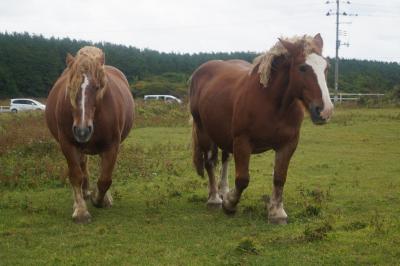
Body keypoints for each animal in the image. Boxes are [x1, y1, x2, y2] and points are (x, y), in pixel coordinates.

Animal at [45, 46, 134, 223]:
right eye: (70, 88)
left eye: (98, 86)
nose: (82, 130)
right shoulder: (68, 144)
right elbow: (76, 175)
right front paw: (81, 211)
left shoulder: (112, 146)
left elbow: (105, 179)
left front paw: (99, 199)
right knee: (81, 166)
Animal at [189, 33, 332, 224]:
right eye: (302, 68)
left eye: (326, 67)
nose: (325, 110)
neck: (273, 103)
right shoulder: (242, 141)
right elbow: (243, 179)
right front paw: (230, 204)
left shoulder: (288, 144)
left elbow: (279, 178)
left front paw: (277, 212)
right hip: (204, 132)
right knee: (209, 162)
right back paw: (215, 198)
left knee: (225, 159)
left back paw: (224, 191)